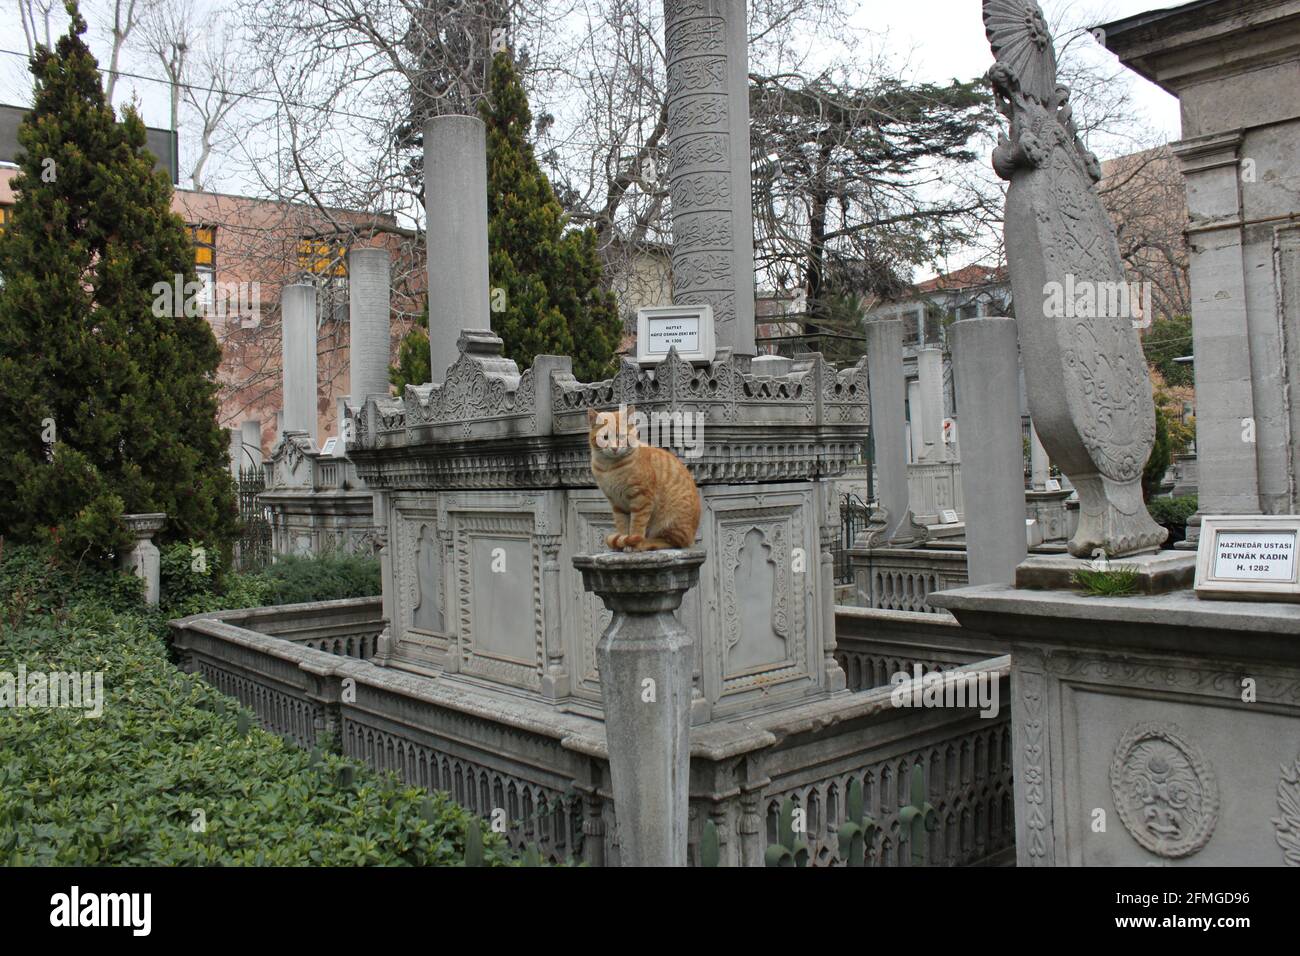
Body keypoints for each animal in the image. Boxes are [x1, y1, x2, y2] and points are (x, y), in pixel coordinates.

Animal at [590, 405, 702, 554]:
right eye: (605, 437)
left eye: (622, 436)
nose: (614, 448)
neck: (609, 467)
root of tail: (692, 536)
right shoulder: (617, 504)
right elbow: (622, 526)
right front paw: (622, 542)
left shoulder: (641, 499)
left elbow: (636, 527)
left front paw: (633, 544)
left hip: (671, 521)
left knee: (669, 542)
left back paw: (645, 543)